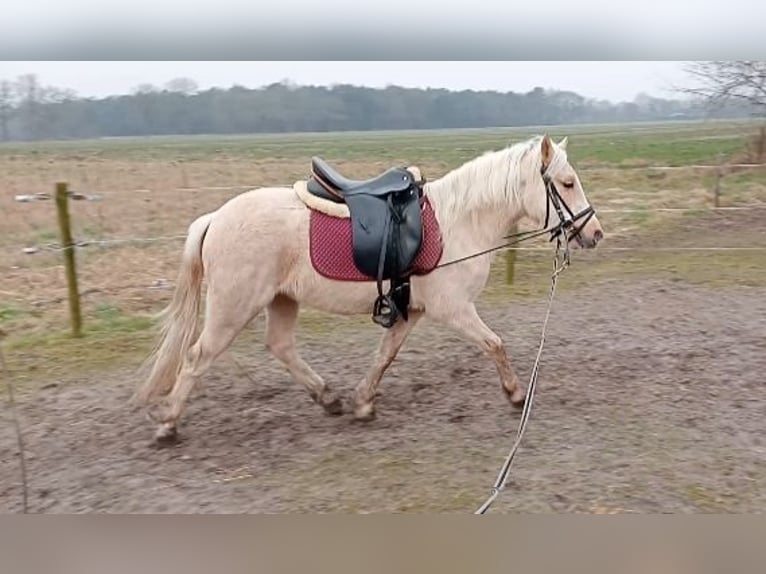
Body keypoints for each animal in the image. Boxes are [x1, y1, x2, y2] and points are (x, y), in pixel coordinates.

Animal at [136, 135, 608, 446]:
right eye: (567, 182)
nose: (595, 233)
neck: (459, 221)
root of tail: (215, 218)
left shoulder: (411, 311)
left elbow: (384, 356)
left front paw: (363, 402)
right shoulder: (454, 309)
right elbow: (495, 344)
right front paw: (516, 394)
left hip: (281, 301)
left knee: (281, 347)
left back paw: (329, 399)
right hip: (233, 308)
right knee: (197, 358)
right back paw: (168, 424)